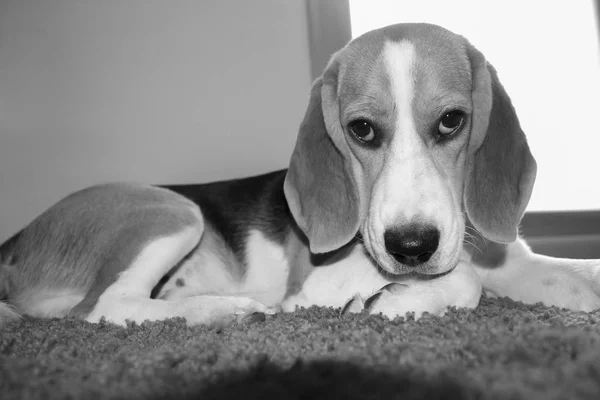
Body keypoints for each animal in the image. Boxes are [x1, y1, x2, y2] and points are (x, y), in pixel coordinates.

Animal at [1, 23, 600, 326]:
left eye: (453, 121)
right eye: (361, 130)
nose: (411, 247)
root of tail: (17, 239)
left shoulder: (513, 261)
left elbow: (570, 274)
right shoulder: (315, 285)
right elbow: (468, 281)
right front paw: (399, 300)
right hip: (173, 210)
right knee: (101, 308)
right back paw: (227, 311)